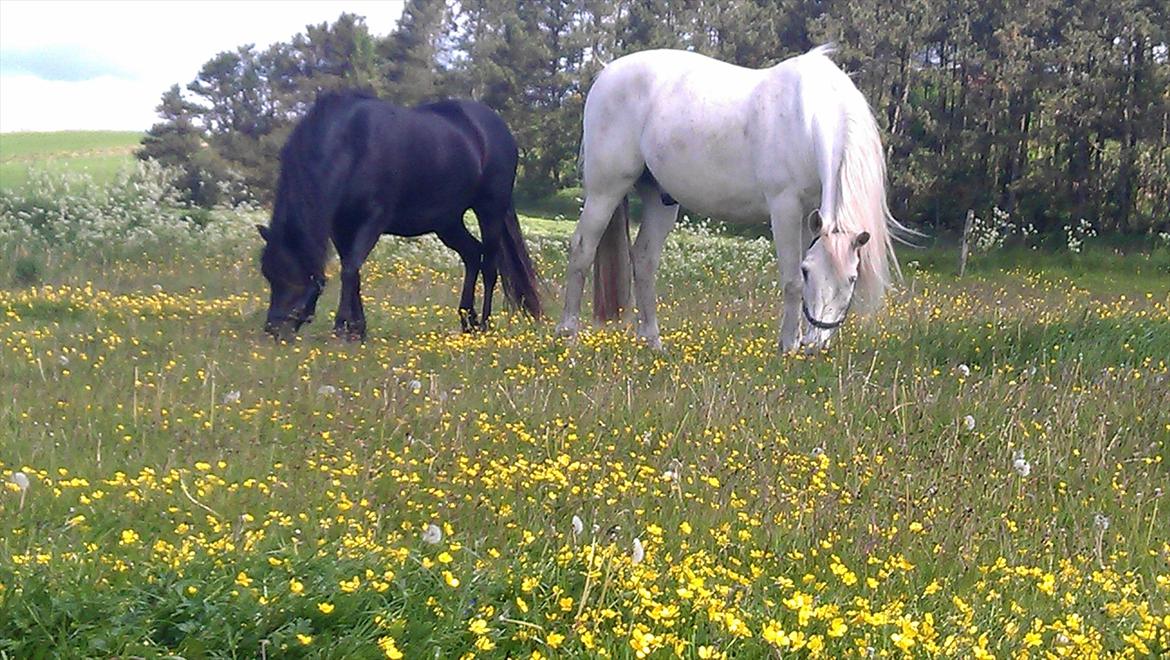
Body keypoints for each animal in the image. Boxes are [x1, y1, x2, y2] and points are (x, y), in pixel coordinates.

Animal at [258, 91, 540, 339]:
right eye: (268, 276)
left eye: (290, 277)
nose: (273, 329)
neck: (351, 143)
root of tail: (499, 128)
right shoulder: (341, 226)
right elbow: (352, 270)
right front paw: (356, 329)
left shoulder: (373, 219)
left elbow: (349, 270)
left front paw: (341, 328)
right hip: (447, 221)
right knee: (472, 255)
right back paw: (466, 321)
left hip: (489, 209)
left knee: (490, 266)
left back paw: (483, 325)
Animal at [552, 45, 907, 355]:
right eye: (809, 272)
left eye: (852, 278)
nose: (814, 345)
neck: (806, 120)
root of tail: (606, 73)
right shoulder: (785, 207)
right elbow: (790, 281)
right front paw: (787, 346)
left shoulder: (811, 213)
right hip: (606, 190)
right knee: (583, 248)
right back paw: (568, 334)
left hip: (660, 200)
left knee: (644, 259)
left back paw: (653, 341)